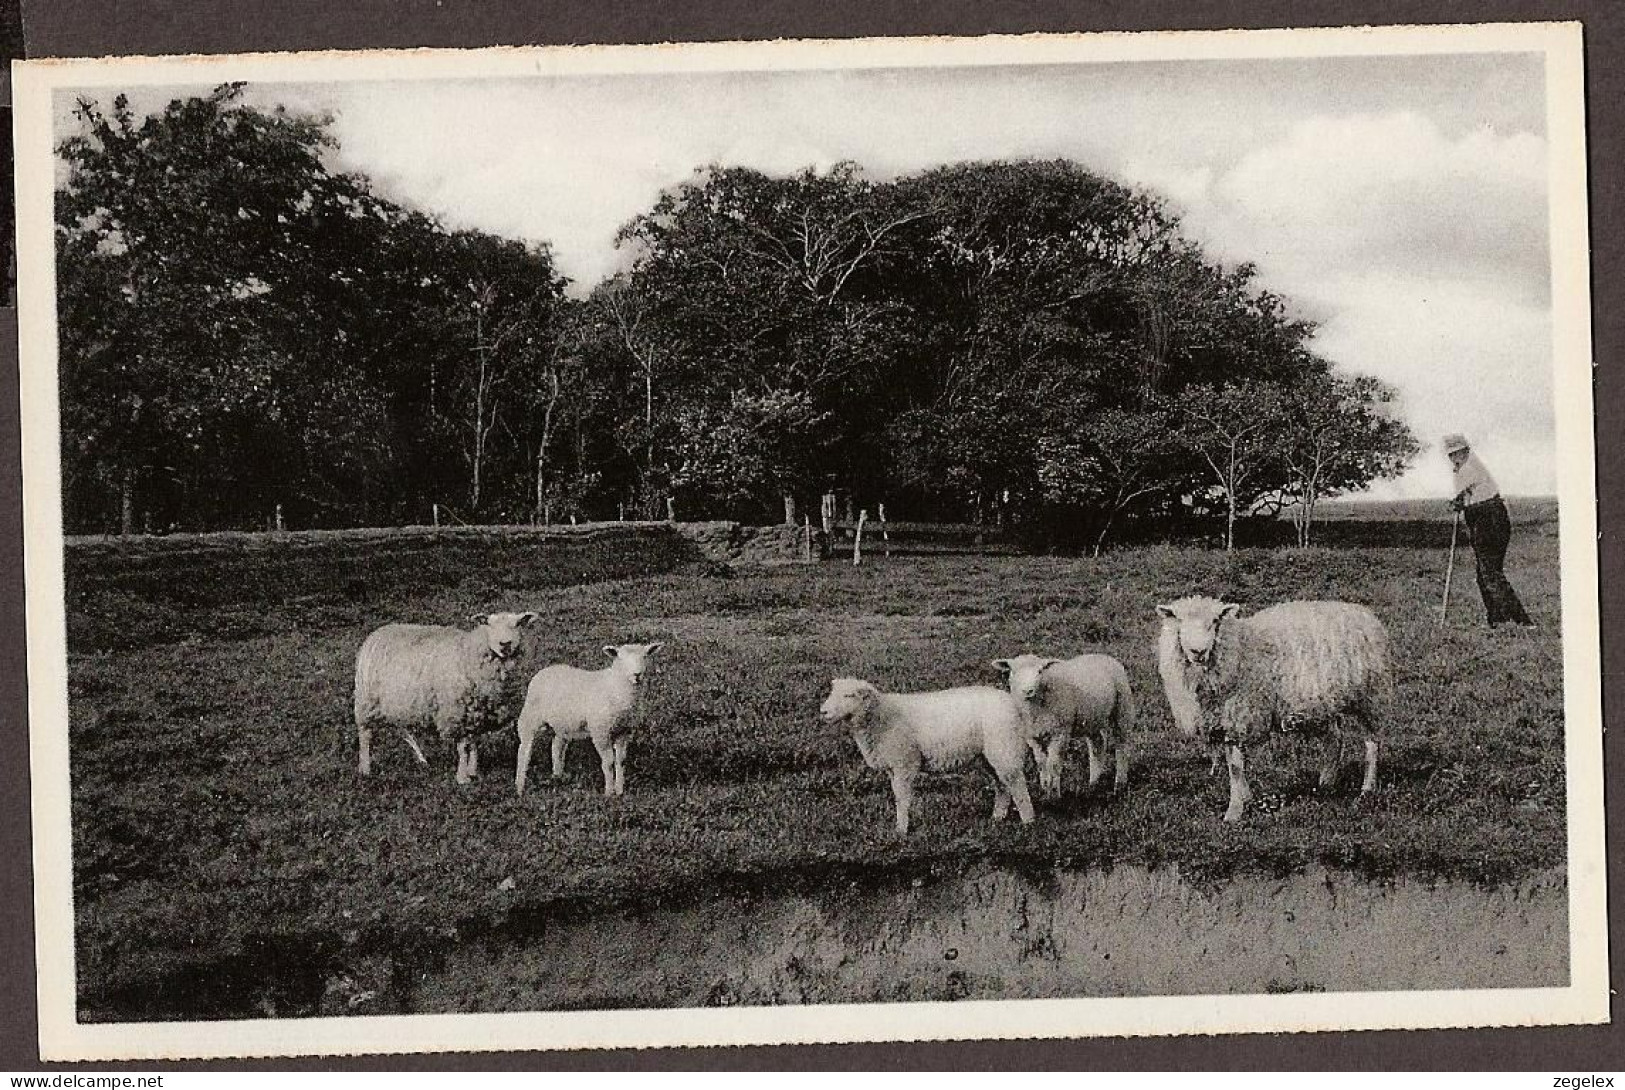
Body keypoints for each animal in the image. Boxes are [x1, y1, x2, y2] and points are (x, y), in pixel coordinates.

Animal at [352, 614, 536, 786]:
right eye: (489, 624)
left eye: (517, 624)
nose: (505, 644)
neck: (469, 653)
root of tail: (377, 633)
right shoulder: (457, 713)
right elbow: (463, 747)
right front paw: (462, 777)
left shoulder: (476, 712)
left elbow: (474, 743)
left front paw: (473, 771)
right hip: (367, 701)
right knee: (365, 734)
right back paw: (365, 768)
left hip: (396, 701)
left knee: (402, 729)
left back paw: (422, 760)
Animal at [510, 640, 656, 802]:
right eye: (620, 658)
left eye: (645, 656)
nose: (637, 674)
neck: (616, 687)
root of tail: (545, 670)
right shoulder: (600, 731)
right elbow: (609, 762)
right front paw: (609, 792)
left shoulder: (624, 731)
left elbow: (621, 761)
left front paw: (620, 791)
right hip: (530, 717)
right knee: (524, 750)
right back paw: (520, 787)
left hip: (562, 724)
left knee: (556, 747)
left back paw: (558, 778)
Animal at [819, 679, 1033, 838]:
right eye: (833, 692)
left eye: (849, 695)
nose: (823, 711)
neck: (880, 716)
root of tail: (1012, 702)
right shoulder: (893, 766)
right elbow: (897, 794)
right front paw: (901, 827)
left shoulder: (905, 762)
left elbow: (902, 797)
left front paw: (901, 830)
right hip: (989, 754)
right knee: (1002, 784)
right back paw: (997, 818)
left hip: (1005, 746)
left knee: (1017, 783)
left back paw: (1029, 821)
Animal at [988, 653, 1131, 795]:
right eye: (1014, 671)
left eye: (1040, 671)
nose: (1028, 691)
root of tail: (1100, 655)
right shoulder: (1031, 736)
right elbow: (1041, 763)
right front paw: (1045, 787)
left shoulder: (1060, 732)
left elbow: (1054, 764)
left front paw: (1054, 792)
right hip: (1092, 719)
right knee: (1097, 744)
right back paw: (1093, 784)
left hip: (1123, 708)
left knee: (1121, 745)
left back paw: (1120, 784)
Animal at [1157, 601, 1397, 821]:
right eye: (1179, 620)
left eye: (1216, 621)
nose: (1198, 652)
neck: (1239, 650)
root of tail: (1361, 611)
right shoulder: (1224, 721)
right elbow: (1233, 763)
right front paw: (1246, 799)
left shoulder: (1240, 715)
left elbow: (1235, 766)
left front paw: (1234, 812)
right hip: (1320, 702)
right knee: (1335, 738)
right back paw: (1326, 782)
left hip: (1370, 696)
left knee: (1371, 743)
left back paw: (1367, 788)